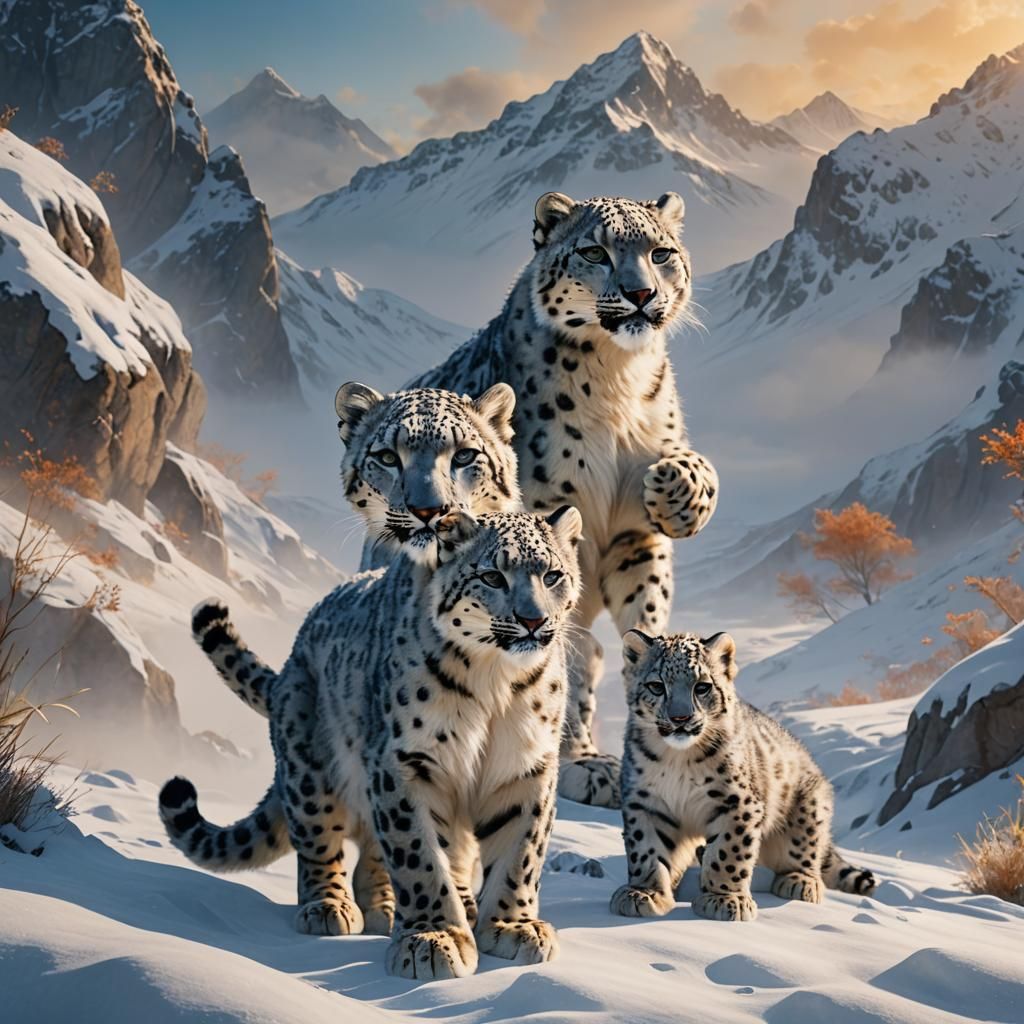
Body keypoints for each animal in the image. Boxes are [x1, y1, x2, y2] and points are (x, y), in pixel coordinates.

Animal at [159, 507, 583, 980]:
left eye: (552, 575)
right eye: (492, 576)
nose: (533, 620)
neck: (496, 682)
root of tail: (288, 663)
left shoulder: (525, 767)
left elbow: (520, 854)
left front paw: (512, 927)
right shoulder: (408, 762)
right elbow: (419, 855)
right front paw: (432, 938)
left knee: (377, 855)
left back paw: (389, 908)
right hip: (310, 763)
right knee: (318, 840)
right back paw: (330, 907)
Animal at [407, 190, 719, 809]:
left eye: (661, 252)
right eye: (595, 251)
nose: (641, 293)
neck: (619, 380)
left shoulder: (632, 539)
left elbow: (642, 617)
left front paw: (675, 490)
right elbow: (560, 661)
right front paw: (582, 763)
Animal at [610, 630, 876, 923]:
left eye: (702, 687)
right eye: (656, 686)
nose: (680, 719)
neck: (678, 759)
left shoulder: (737, 803)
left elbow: (729, 851)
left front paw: (725, 899)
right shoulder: (646, 802)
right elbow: (647, 849)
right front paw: (644, 893)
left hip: (809, 807)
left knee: (807, 847)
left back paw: (799, 881)